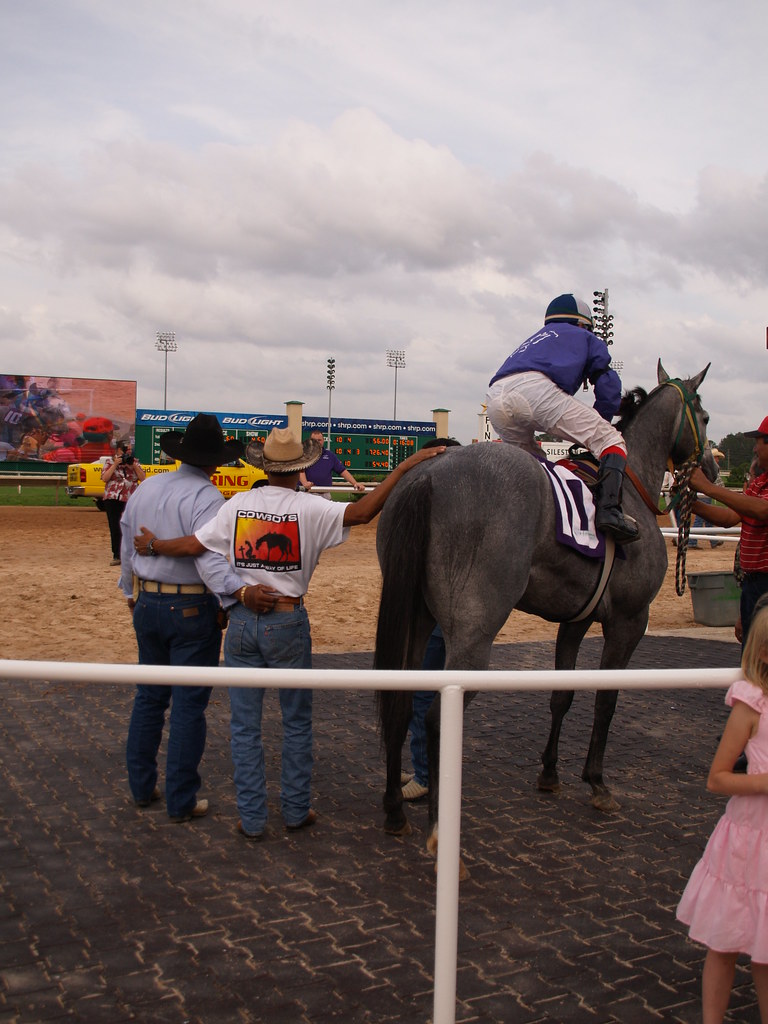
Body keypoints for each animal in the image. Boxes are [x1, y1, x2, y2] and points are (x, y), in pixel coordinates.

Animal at [374, 361, 710, 869]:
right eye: (705, 417)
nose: (713, 467)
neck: (631, 489)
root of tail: (428, 474)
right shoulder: (628, 621)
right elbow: (606, 700)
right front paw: (597, 782)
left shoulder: (576, 620)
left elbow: (562, 696)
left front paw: (550, 772)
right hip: (473, 637)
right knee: (435, 718)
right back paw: (438, 835)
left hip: (416, 619)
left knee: (400, 705)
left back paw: (395, 812)